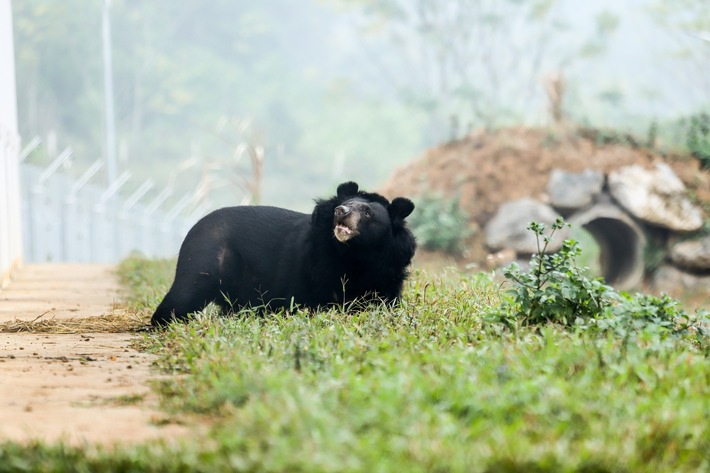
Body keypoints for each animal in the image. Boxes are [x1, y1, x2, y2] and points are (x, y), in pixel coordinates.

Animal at [152, 180, 418, 324]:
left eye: (367, 212)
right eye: (345, 205)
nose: (340, 211)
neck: (356, 255)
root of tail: (196, 226)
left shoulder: (389, 270)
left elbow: (384, 301)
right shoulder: (319, 266)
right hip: (206, 256)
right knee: (185, 295)